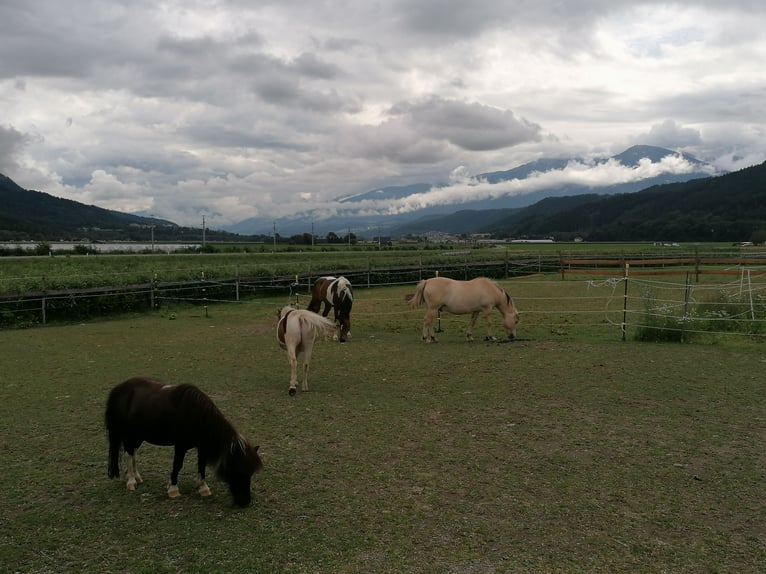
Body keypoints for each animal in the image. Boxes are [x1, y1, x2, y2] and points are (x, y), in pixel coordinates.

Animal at [104, 378, 264, 508]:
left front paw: (203, 488)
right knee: (129, 454)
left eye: (251, 473)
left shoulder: (202, 446)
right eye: (237, 471)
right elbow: (177, 465)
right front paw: (173, 489)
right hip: (131, 435)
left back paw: (137, 477)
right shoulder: (180, 446)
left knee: (133, 453)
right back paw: (131, 481)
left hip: (139, 436)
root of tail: (119, 389)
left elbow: (201, 465)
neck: (196, 415)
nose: (245, 502)